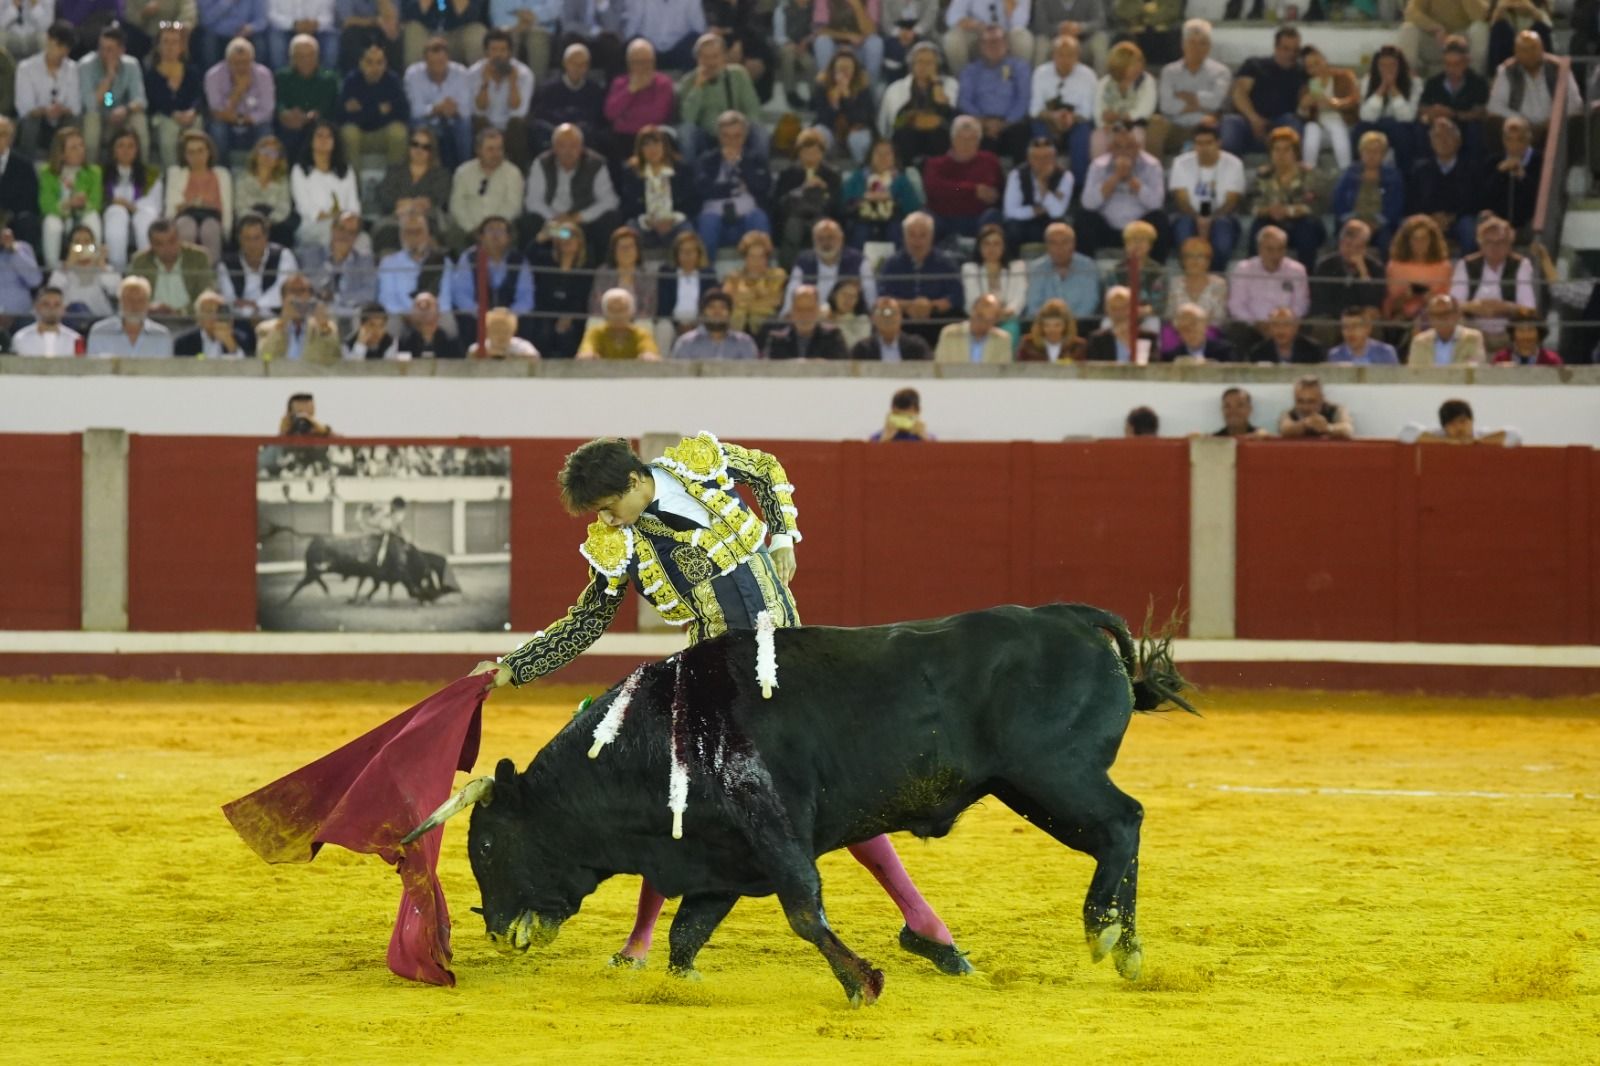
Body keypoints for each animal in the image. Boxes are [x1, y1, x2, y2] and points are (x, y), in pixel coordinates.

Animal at [409, 601, 1190, 998]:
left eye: (486, 843)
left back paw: (1103, 932)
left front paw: (864, 982)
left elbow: (803, 910)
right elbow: (687, 932)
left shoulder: (772, 829)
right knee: (1123, 832)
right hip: (1038, 786)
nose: (493, 926)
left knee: (1123, 823)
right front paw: (680, 980)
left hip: (1052, 776)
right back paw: (1124, 948)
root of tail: (1067, 618)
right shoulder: (715, 857)